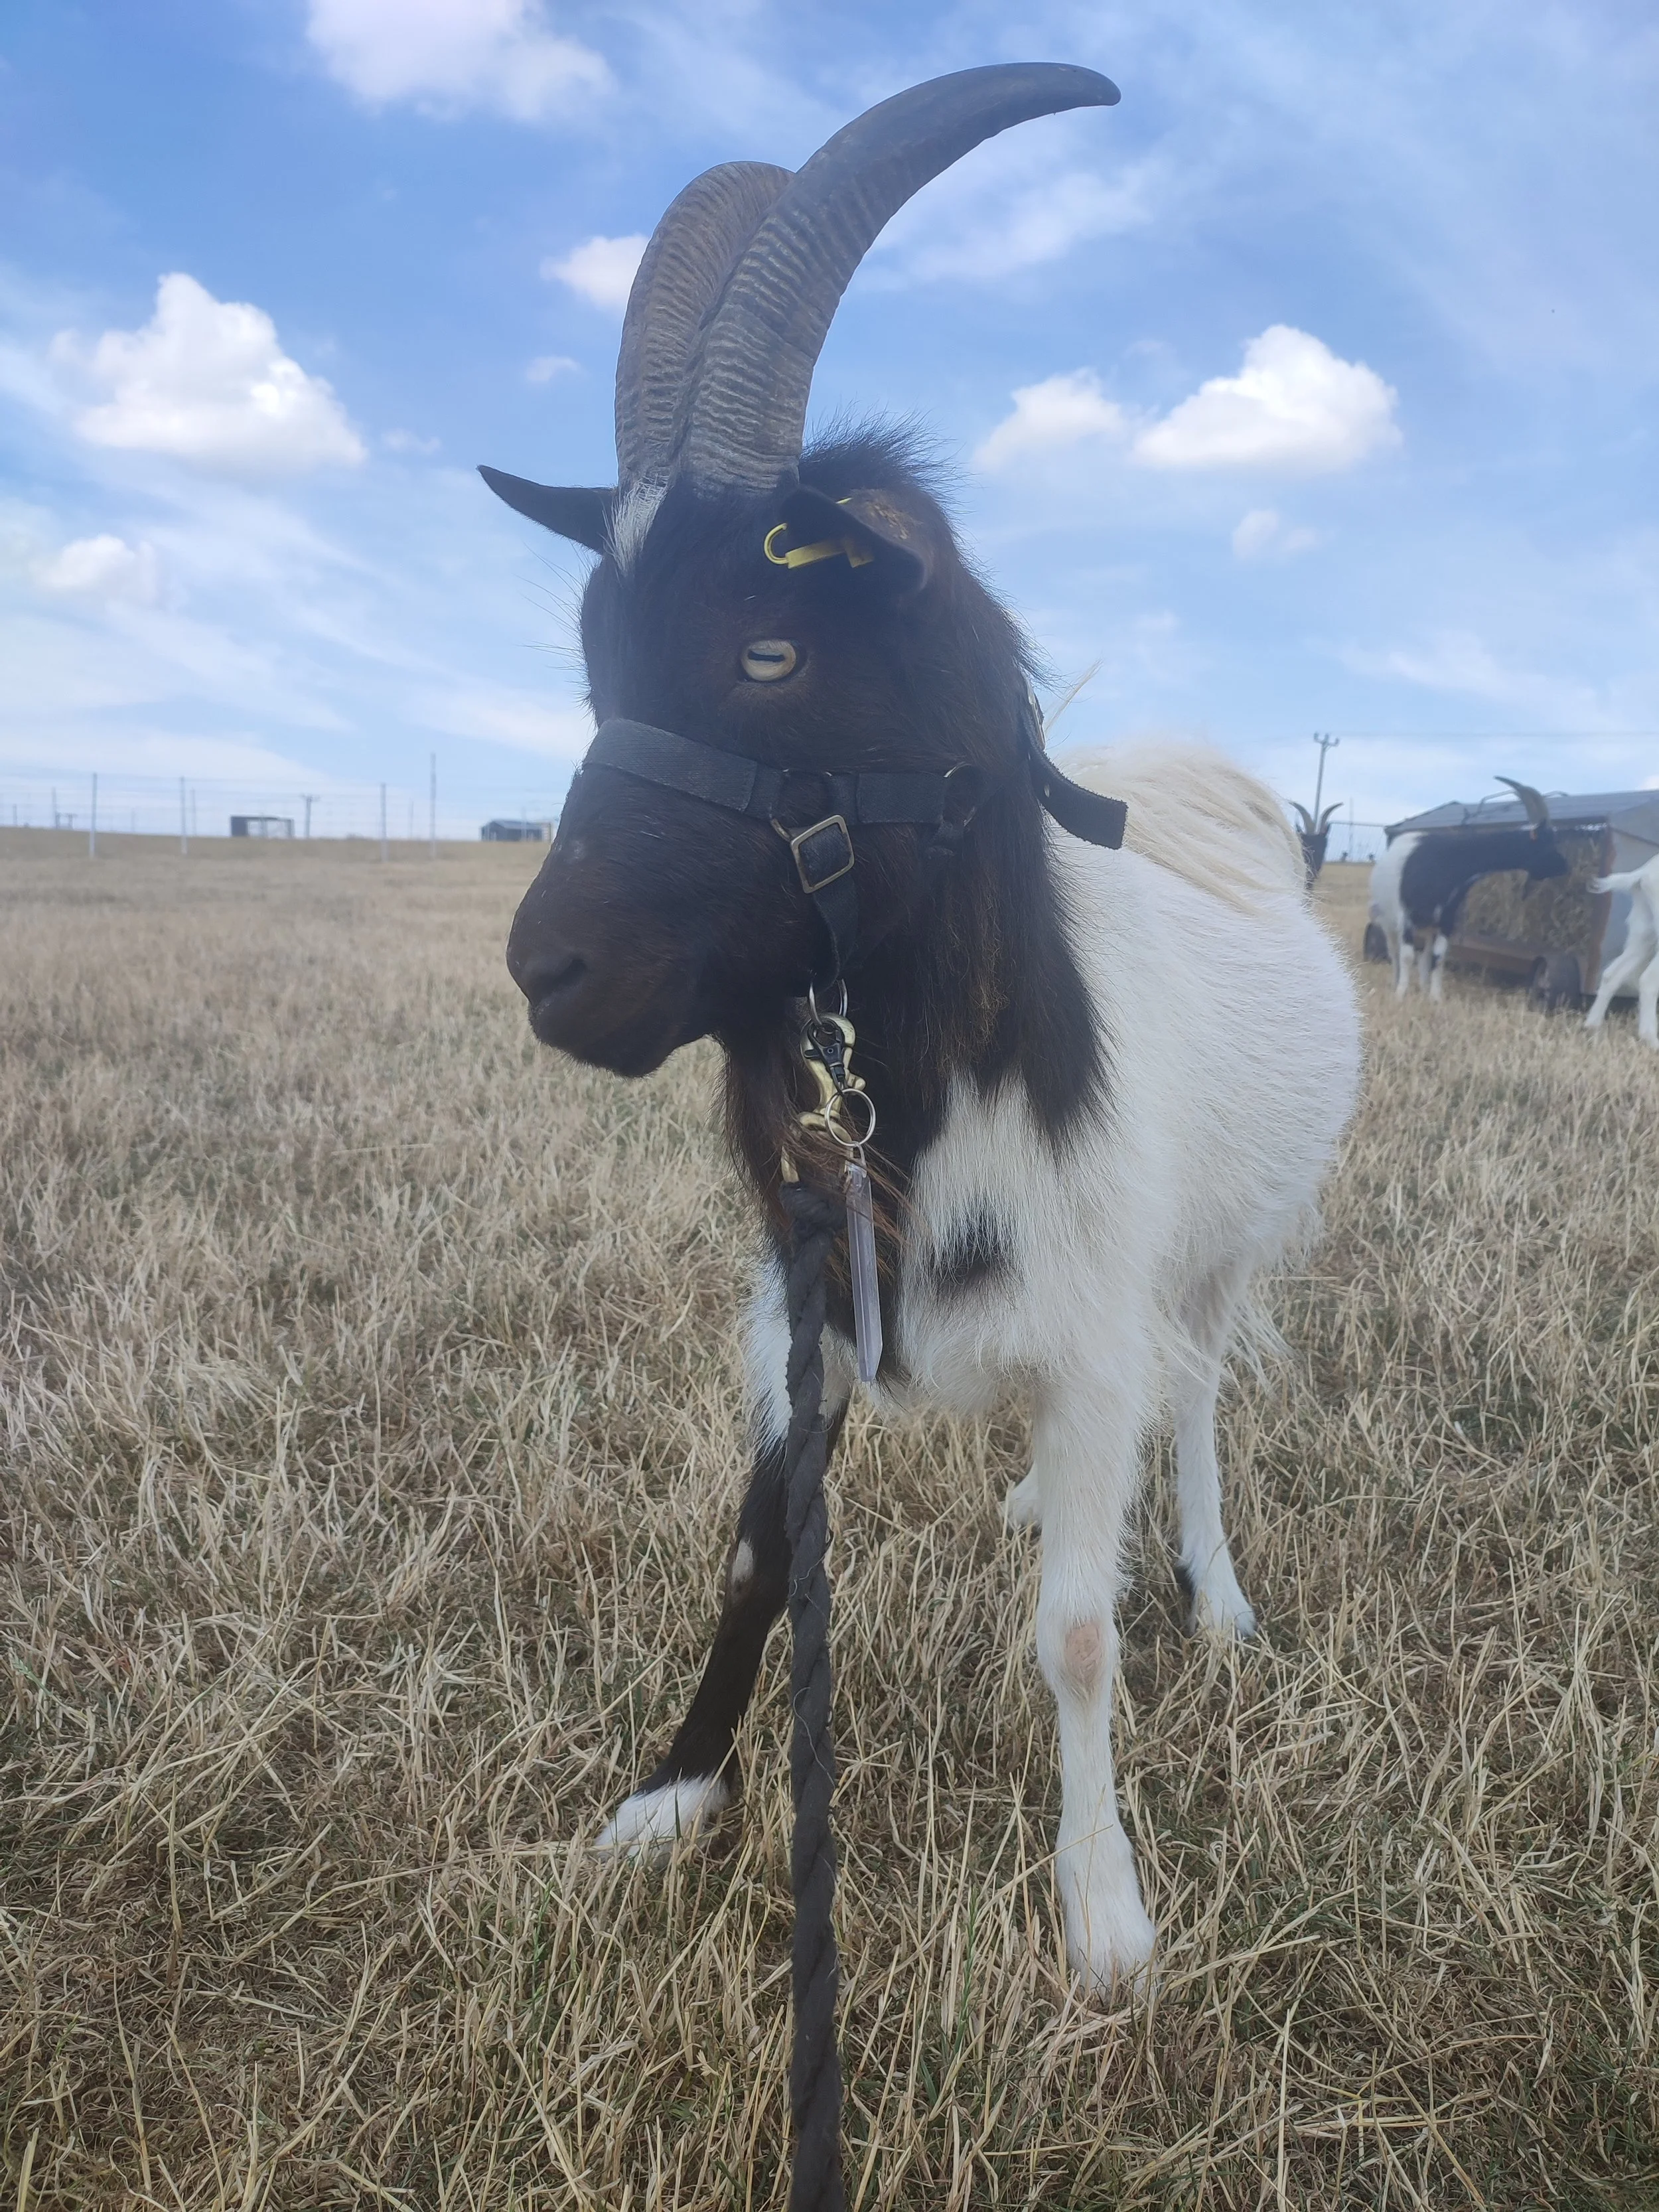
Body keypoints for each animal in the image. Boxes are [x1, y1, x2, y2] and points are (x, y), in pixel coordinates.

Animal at [1368, 778, 1569, 999]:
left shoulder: (1446, 920)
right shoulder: (1408, 917)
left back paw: (1423, 986)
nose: (1565, 866)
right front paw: (1400, 995)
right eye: (1547, 840)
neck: (1447, 864)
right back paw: (1396, 982)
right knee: (1394, 952)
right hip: (1388, 919)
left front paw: (1435, 997)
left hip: (1429, 926)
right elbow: (1406, 956)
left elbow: (1438, 957)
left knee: (1425, 956)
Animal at [1583, 855, 1659, 1046]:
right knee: (1648, 980)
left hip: (1644, 933)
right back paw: (1651, 1040)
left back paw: (1592, 1026)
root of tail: (1643, 873)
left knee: (1612, 974)